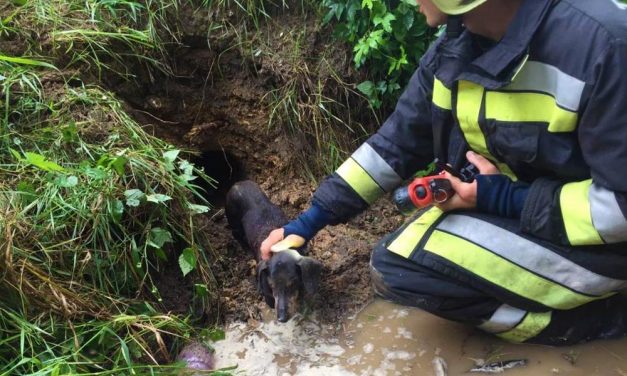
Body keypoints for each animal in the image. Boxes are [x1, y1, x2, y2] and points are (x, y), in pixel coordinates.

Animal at [226, 181, 324, 322]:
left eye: (292, 284)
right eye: (271, 286)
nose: (281, 319)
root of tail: (237, 184)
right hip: (233, 221)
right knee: (236, 234)